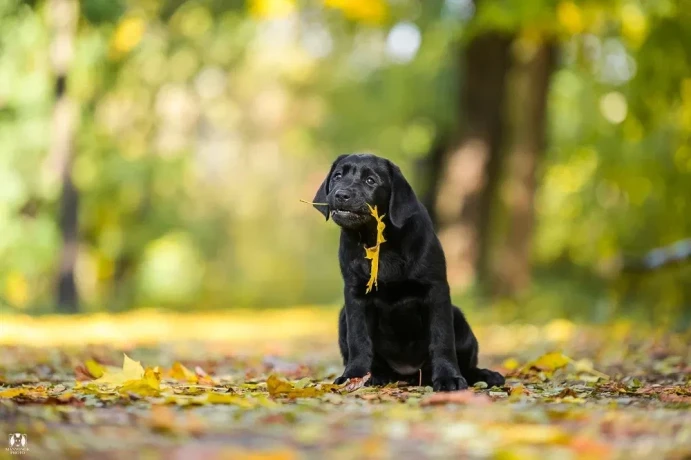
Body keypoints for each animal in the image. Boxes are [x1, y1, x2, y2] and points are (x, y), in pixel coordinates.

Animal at [312, 153, 502, 390]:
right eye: (337, 176)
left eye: (370, 181)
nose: (341, 194)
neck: (379, 242)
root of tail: (407, 373)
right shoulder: (355, 295)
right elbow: (359, 340)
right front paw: (353, 376)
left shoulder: (436, 290)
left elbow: (442, 339)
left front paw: (448, 378)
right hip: (342, 317)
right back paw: (376, 376)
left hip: (459, 319)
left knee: (467, 365)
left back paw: (486, 375)